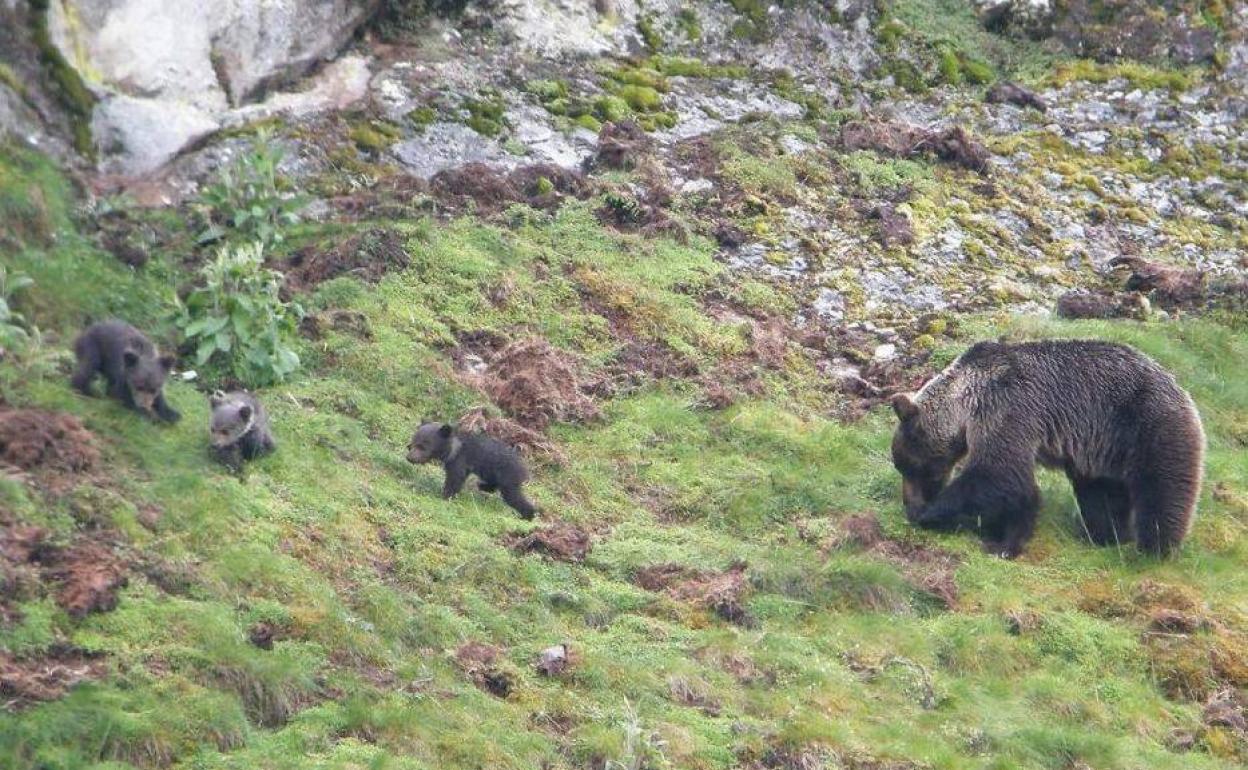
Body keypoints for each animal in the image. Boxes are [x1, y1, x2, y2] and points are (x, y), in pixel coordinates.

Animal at [406, 422, 536, 519]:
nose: (409, 458)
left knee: (514, 497)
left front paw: (445, 495)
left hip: (508, 477)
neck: (452, 448)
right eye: (411, 444)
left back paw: (529, 514)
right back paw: (483, 486)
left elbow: (455, 478)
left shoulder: (459, 460)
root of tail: (525, 470)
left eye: (422, 446)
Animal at [890, 339, 1204, 558]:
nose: (909, 502)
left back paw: (1153, 549)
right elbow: (1015, 487)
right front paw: (1003, 536)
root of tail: (1182, 390)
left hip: (1150, 426)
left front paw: (935, 514)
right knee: (1100, 495)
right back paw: (1106, 535)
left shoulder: (1006, 409)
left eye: (911, 468)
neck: (965, 400)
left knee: (1161, 492)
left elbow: (999, 474)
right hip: (1103, 452)